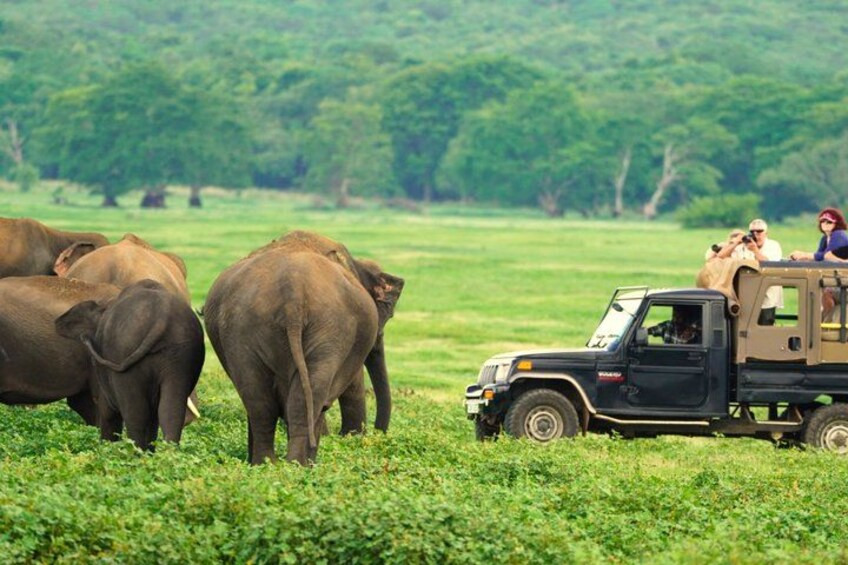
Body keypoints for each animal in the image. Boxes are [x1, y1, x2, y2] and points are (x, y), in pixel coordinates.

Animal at [55, 280, 205, 450]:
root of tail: (162, 315)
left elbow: (108, 412)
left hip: (125, 354)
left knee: (135, 414)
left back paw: (136, 453)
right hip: (178, 353)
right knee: (170, 410)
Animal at [203, 230, 404, 465]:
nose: (379, 433)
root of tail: (293, 297)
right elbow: (353, 382)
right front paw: (351, 438)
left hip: (244, 329)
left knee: (261, 401)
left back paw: (268, 464)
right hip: (330, 327)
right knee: (309, 398)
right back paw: (299, 465)